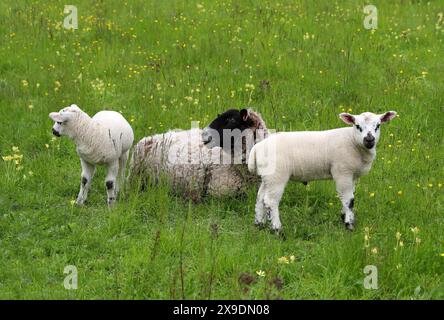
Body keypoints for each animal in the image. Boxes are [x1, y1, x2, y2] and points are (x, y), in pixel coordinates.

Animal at [248, 110, 398, 232]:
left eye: (378, 126)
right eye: (357, 126)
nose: (369, 139)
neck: (353, 142)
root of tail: (257, 147)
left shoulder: (352, 176)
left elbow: (348, 196)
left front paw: (344, 216)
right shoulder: (342, 172)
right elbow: (349, 199)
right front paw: (349, 224)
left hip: (267, 176)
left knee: (260, 197)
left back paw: (259, 223)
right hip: (277, 175)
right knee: (270, 201)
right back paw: (277, 229)